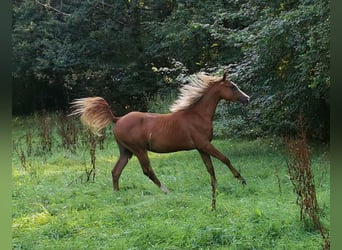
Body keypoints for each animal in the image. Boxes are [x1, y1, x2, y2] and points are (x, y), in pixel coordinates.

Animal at [71, 72, 250, 209]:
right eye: (232, 87)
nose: (247, 98)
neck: (197, 115)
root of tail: (118, 118)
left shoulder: (201, 148)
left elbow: (210, 169)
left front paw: (215, 190)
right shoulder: (205, 144)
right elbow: (225, 159)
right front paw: (242, 180)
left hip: (126, 151)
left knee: (116, 171)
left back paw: (117, 194)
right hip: (139, 150)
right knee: (147, 171)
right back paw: (167, 191)